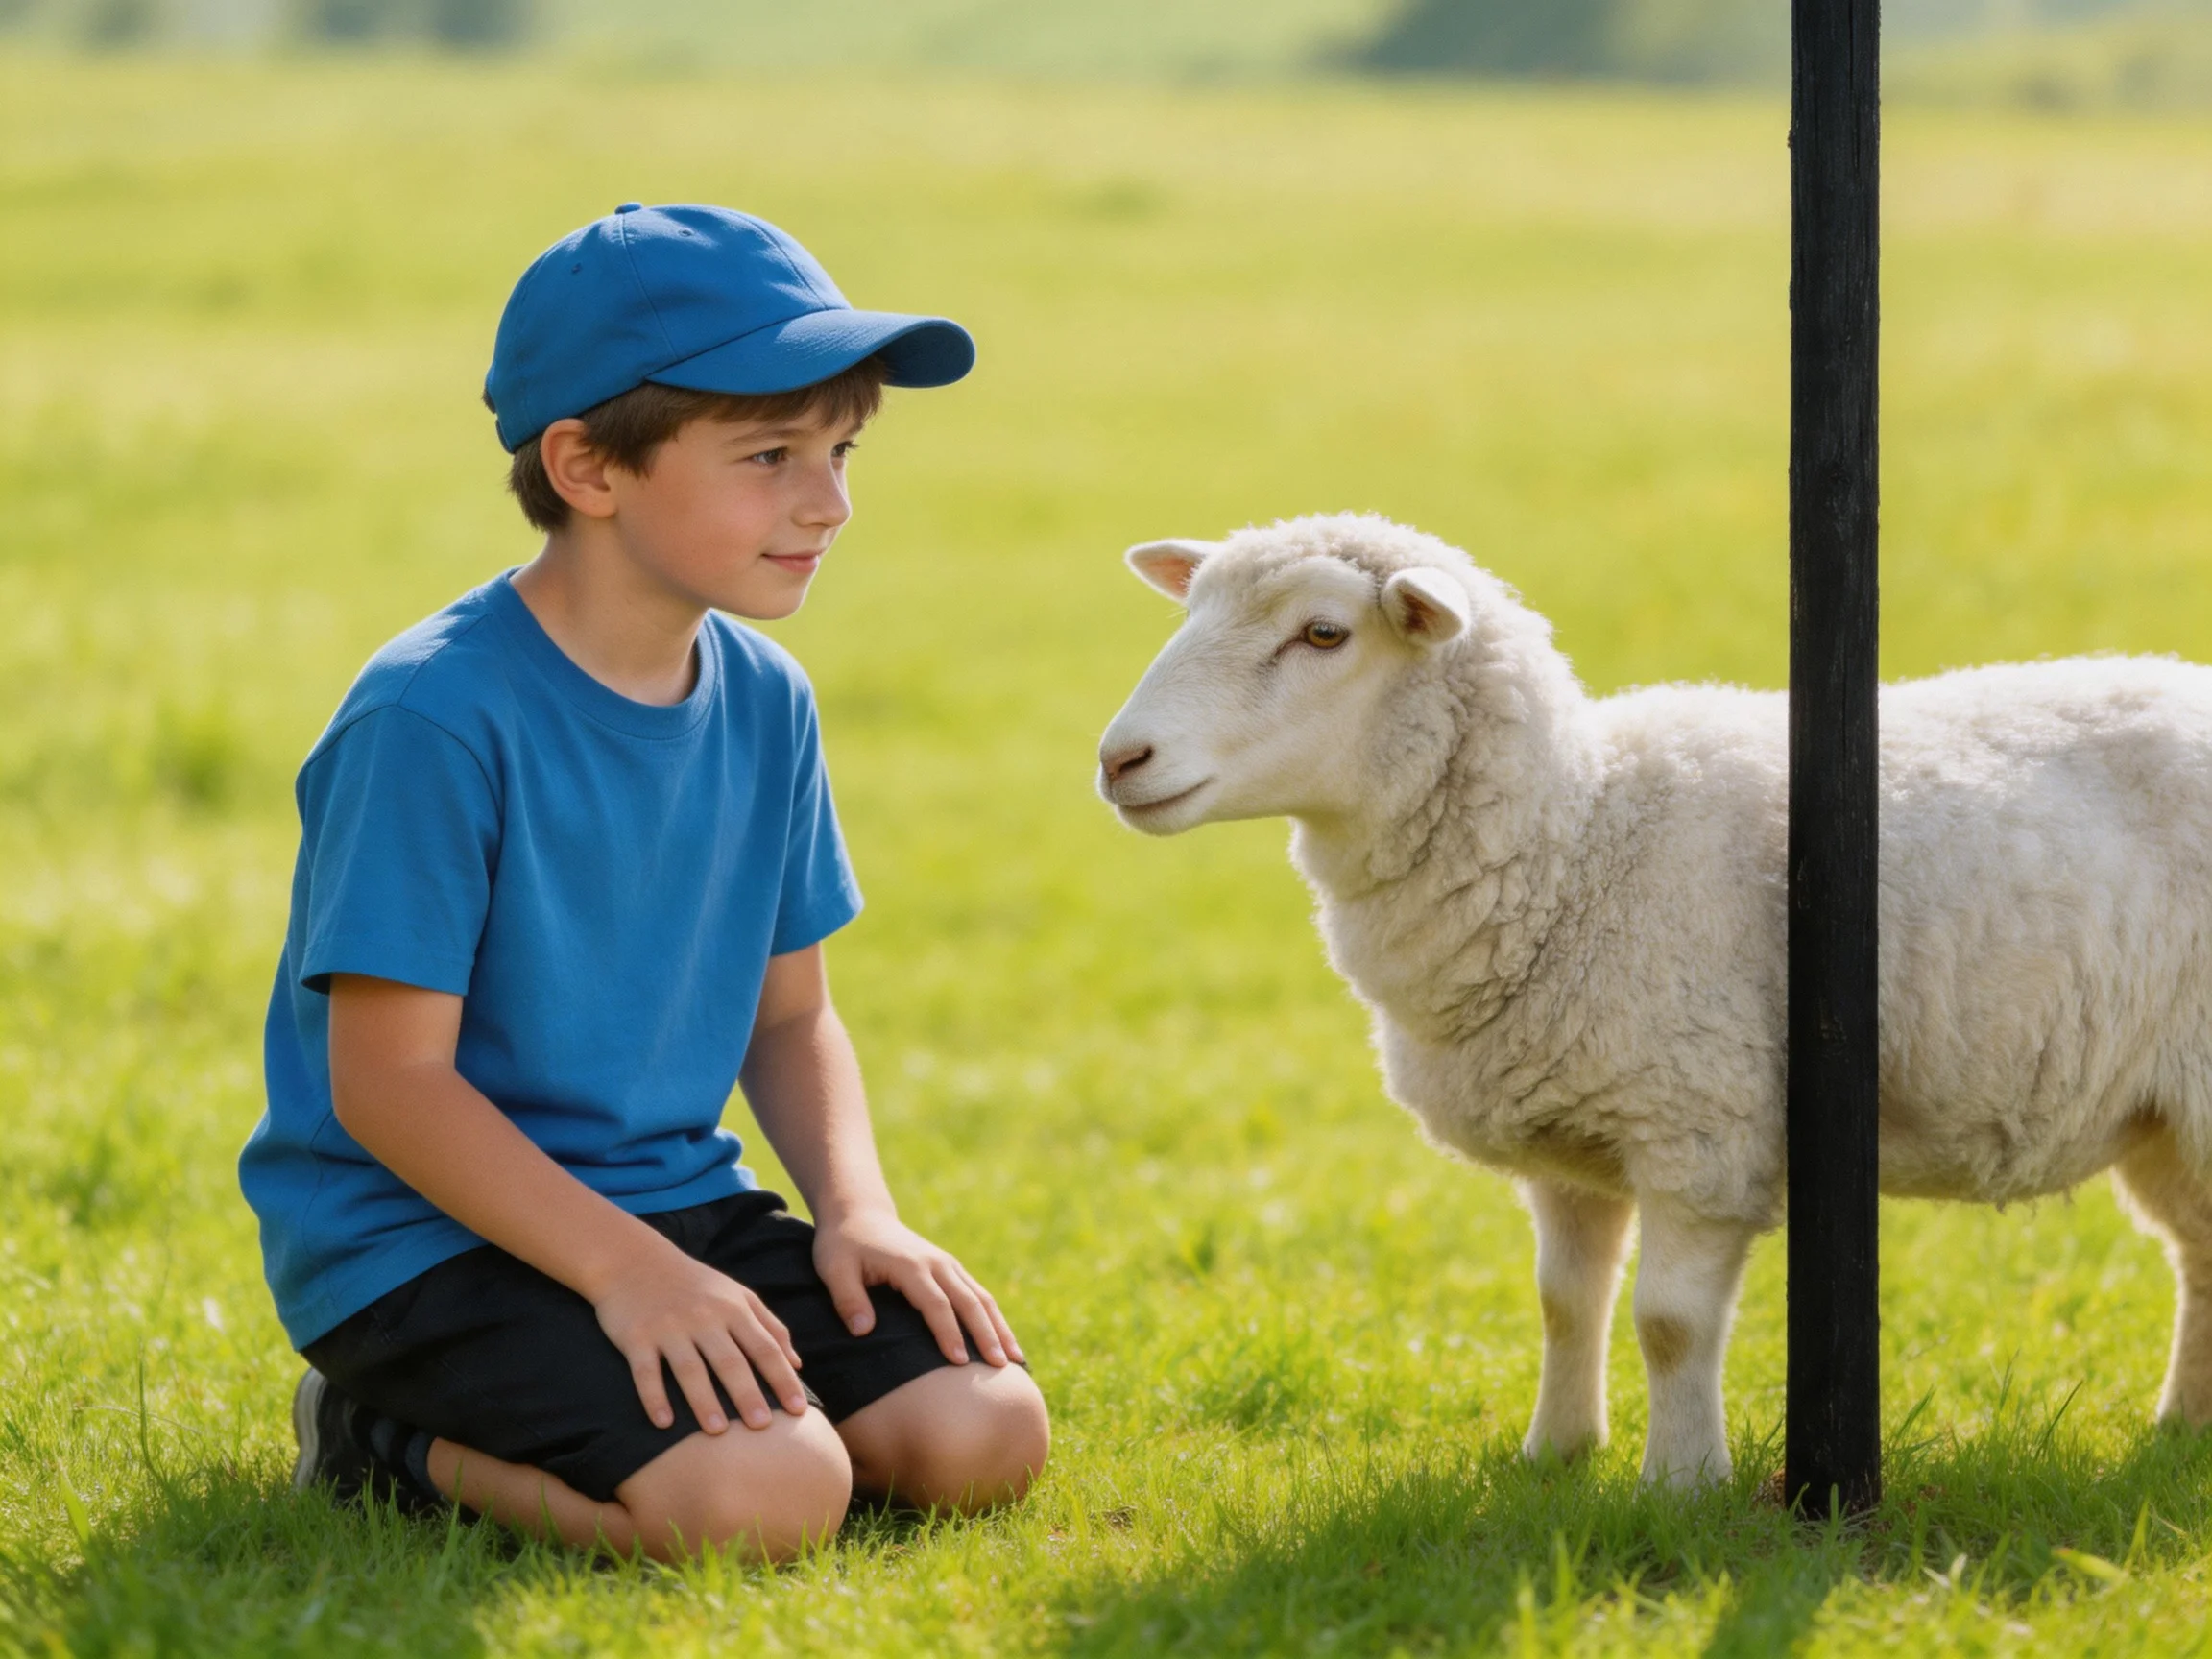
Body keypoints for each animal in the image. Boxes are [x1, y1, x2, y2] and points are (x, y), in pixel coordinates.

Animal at [1096, 510, 2212, 1488]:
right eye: (1190, 608)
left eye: (1323, 632)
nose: (1119, 760)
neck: (1579, 839)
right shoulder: (1566, 1138)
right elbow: (1564, 1302)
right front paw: (1554, 1456)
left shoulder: (1699, 1129)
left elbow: (1668, 1323)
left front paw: (1680, 1484)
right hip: (2157, 1109)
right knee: (2200, 1251)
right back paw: (2182, 1427)